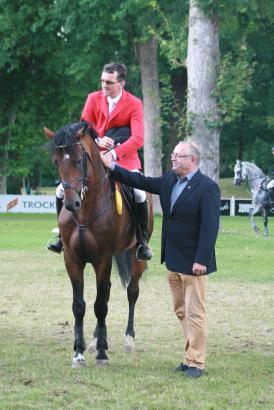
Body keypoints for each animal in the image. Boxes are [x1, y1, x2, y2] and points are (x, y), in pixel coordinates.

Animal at [44, 121, 153, 368]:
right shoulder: (72, 259)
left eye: (78, 160)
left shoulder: (102, 258)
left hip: (135, 255)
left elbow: (100, 305)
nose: (71, 204)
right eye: (56, 162)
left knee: (132, 292)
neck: (85, 211)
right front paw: (79, 353)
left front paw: (102, 354)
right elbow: (80, 306)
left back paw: (128, 339)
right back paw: (95, 339)